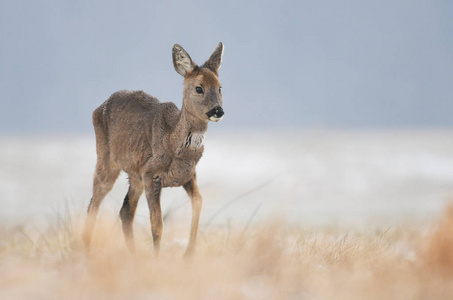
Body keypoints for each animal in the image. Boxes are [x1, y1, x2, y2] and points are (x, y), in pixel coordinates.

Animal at [83, 42, 224, 258]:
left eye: (220, 87)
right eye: (199, 88)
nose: (218, 111)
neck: (176, 145)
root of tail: (99, 107)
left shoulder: (188, 175)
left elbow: (198, 202)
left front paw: (188, 255)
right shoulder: (151, 174)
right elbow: (157, 224)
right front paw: (157, 259)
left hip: (135, 174)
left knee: (125, 210)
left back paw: (133, 255)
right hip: (106, 159)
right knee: (94, 203)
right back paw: (87, 251)